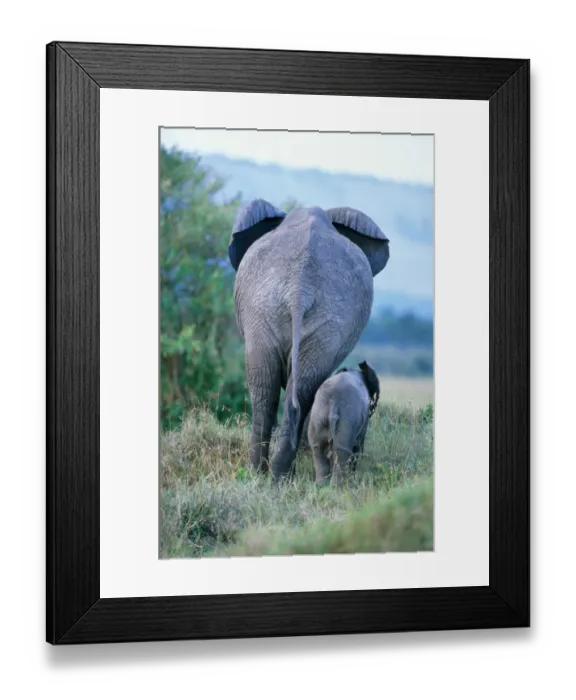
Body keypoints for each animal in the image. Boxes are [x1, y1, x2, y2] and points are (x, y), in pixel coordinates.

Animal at [228, 199, 390, 482]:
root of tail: (299, 287)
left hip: (279, 316)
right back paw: (273, 477)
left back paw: (268, 477)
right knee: (281, 392)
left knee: (272, 392)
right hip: (294, 317)